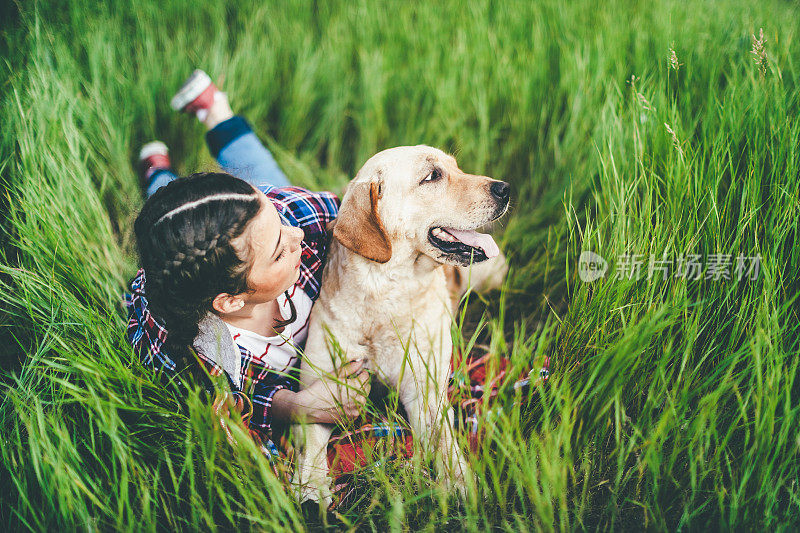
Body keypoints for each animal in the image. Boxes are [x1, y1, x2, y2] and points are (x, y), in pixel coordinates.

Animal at [290, 143, 510, 500]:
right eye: (432, 176)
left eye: (456, 167)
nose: (505, 189)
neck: (385, 297)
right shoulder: (320, 389)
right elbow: (311, 443)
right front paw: (312, 486)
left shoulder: (426, 393)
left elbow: (444, 440)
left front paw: (459, 482)